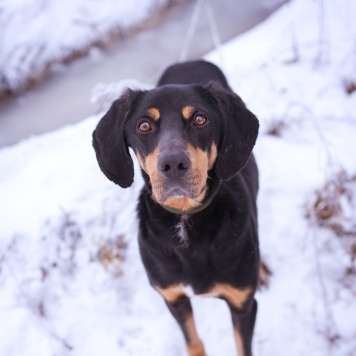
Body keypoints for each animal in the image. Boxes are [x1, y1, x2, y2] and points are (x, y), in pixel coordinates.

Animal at [92, 59, 258, 354]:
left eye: (200, 119)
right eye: (144, 125)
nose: (173, 164)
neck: (185, 221)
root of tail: (189, 61)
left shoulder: (244, 305)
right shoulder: (173, 298)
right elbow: (193, 341)